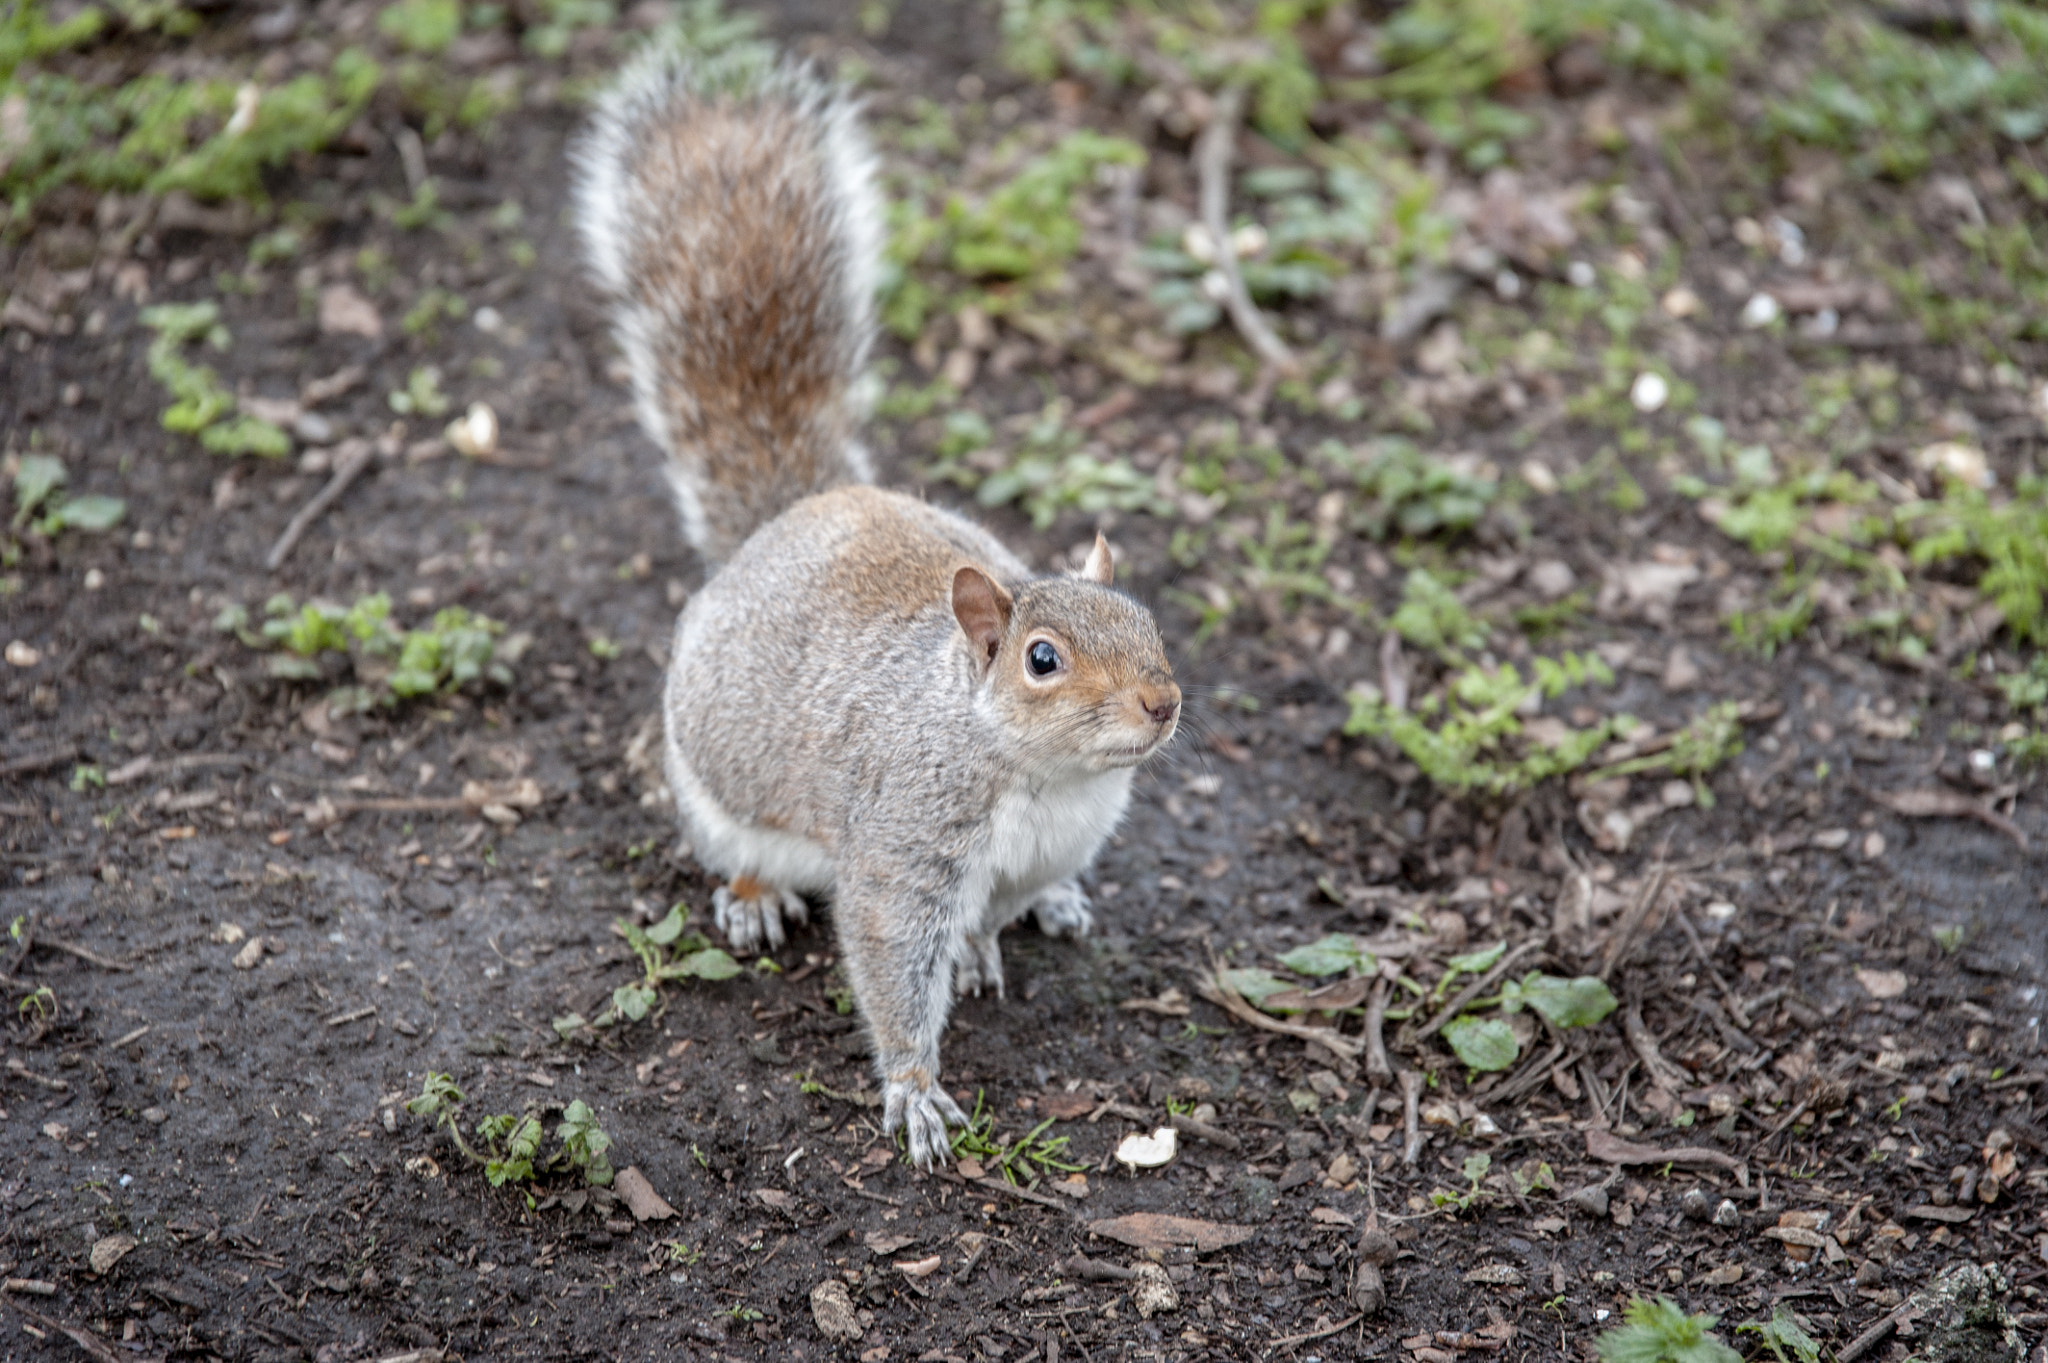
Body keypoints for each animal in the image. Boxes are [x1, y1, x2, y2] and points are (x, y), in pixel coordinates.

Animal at [573, 47, 1187, 1162]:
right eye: (1040, 658)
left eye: (1148, 622)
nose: (1161, 705)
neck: (1044, 778)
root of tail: (791, 515)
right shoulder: (903, 845)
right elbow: (892, 953)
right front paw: (912, 1085)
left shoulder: (1040, 849)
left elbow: (989, 914)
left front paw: (986, 947)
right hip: (714, 790)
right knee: (736, 852)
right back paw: (754, 898)